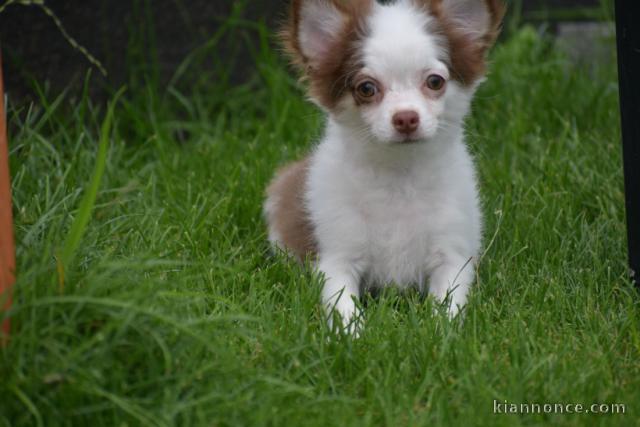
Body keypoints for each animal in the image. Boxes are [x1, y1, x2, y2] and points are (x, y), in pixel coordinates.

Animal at [264, 0, 504, 332]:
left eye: (435, 82)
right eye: (366, 88)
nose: (406, 118)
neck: (398, 175)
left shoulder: (453, 257)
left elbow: (448, 304)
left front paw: (439, 332)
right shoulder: (337, 260)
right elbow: (343, 306)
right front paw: (352, 336)